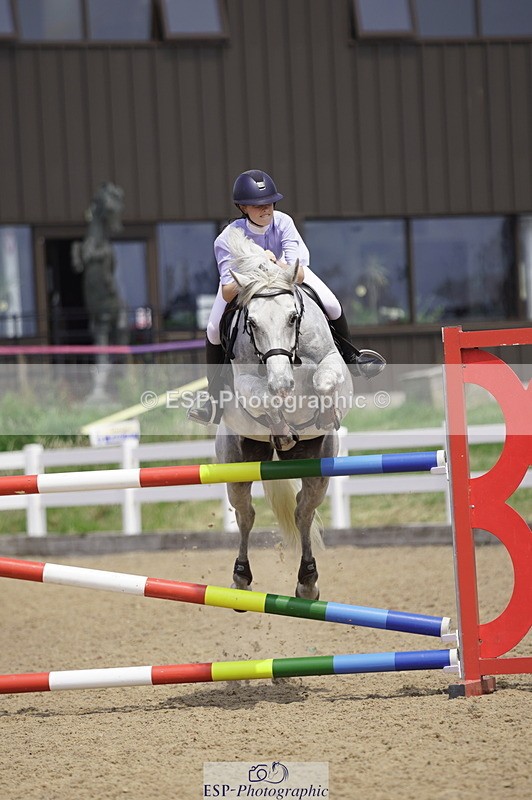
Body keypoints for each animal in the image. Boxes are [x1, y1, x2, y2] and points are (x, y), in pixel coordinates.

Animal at [215, 227, 353, 600]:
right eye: (250, 322)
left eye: (294, 317)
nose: (282, 382)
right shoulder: (245, 382)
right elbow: (263, 397)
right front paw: (280, 418)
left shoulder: (332, 365)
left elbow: (323, 380)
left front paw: (323, 411)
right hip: (237, 462)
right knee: (245, 514)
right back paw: (241, 577)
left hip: (319, 463)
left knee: (303, 511)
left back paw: (307, 581)